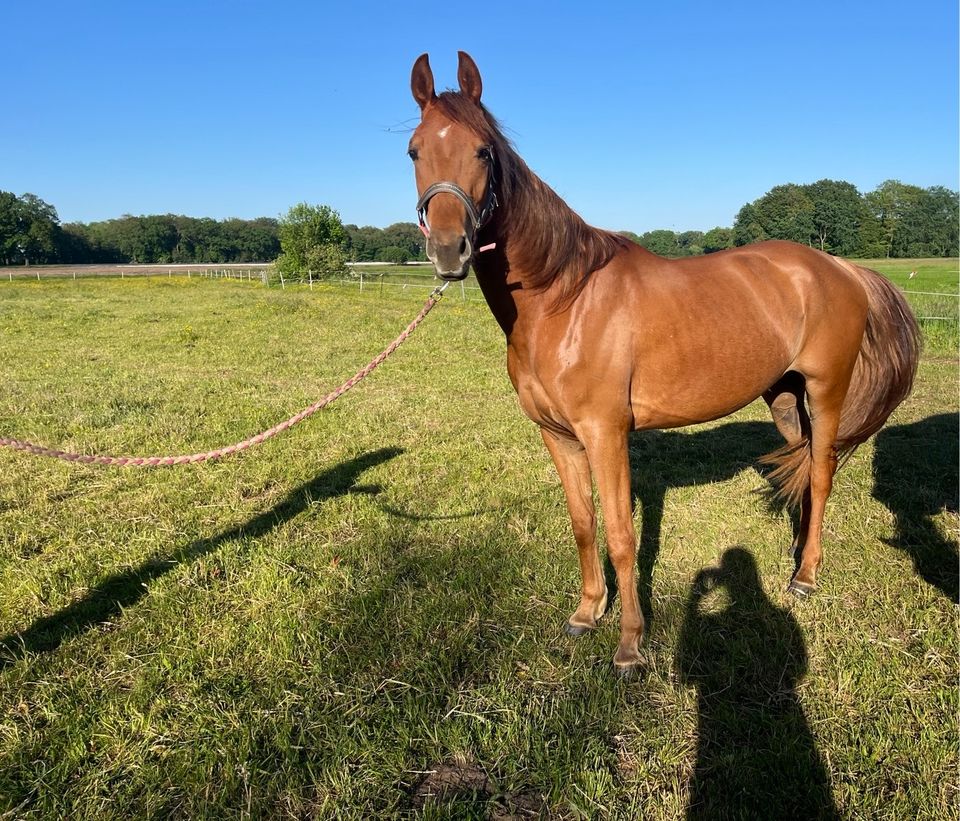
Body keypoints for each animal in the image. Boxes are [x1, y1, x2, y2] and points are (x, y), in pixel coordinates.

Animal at [406, 54, 924, 676]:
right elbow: (584, 526)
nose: (448, 249)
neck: (563, 298)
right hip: (785, 398)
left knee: (821, 475)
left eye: (483, 150)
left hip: (826, 392)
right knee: (803, 473)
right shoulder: (558, 436)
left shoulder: (606, 434)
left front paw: (631, 644)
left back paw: (805, 576)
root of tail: (841, 267)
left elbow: (622, 535)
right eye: (413, 151)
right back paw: (797, 554)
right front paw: (587, 613)